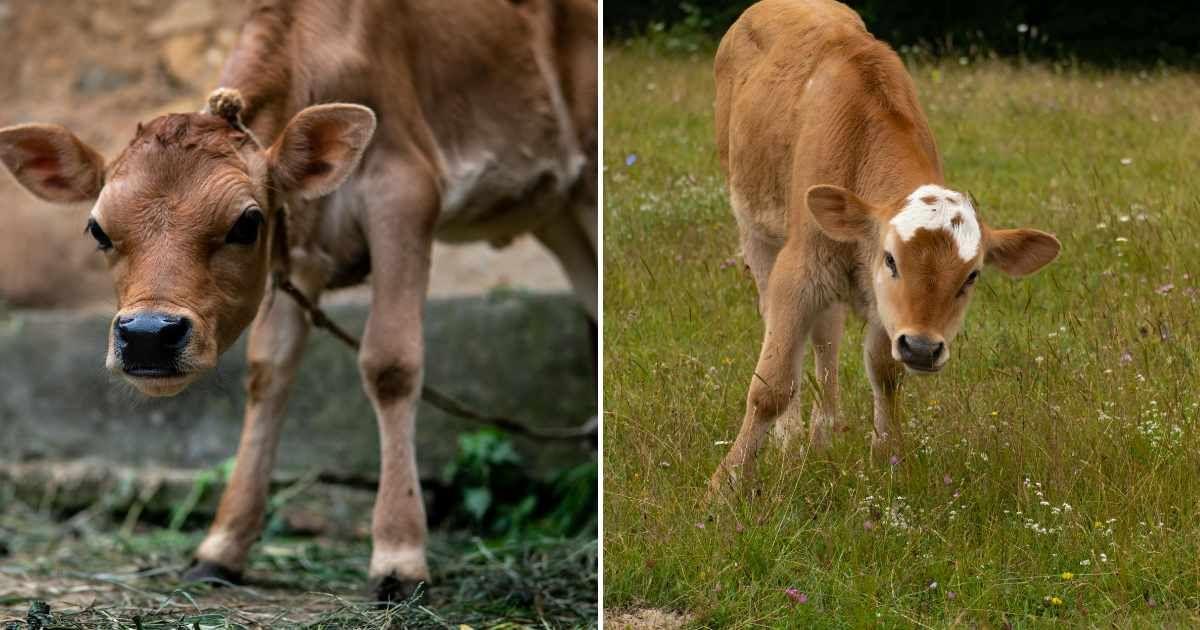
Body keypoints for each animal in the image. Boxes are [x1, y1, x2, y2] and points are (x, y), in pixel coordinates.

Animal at [0, 0, 597, 603]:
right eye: (97, 229)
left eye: (247, 223)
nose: (147, 335)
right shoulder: (301, 244)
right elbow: (270, 372)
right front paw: (221, 548)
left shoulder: (404, 190)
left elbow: (391, 364)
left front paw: (399, 556)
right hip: (558, 213)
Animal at [708, 0, 1060, 494]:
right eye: (891, 259)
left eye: (971, 276)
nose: (923, 348)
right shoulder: (799, 271)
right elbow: (770, 385)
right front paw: (726, 484)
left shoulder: (882, 305)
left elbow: (885, 373)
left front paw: (889, 459)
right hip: (756, 230)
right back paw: (792, 438)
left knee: (827, 336)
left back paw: (824, 432)